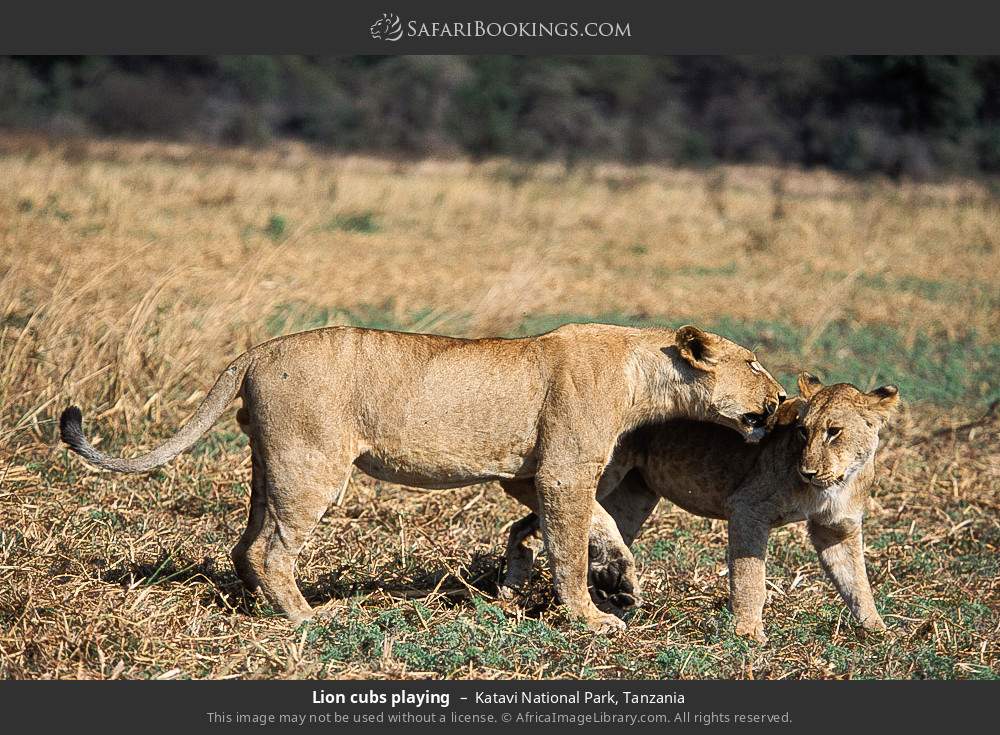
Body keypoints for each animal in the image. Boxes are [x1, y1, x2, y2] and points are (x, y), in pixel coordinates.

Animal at [59, 322, 785, 632]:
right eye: (753, 362)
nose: (779, 398)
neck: (644, 372)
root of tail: (258, 349)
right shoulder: (562, 472)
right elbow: (569, 549)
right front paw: (592, 617)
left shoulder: (529, 473)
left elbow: (594, 525)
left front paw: (625, 576)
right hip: (311, 463)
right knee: (270, 550)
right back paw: (308, 617)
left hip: (270, 467)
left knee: (244, 544)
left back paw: (257, 605)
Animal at [503, 373, 898, 640]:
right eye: (803, 431)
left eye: (834, 431)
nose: (808, 471)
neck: (837, 482)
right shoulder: (747, 508)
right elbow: (750, 577)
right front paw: (748, 633)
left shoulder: (837, 528)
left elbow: (855, 582)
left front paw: (879, 630)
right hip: (592, 477)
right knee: (537, 511)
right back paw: (520, 588)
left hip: (635, 497)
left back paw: (605, 591)